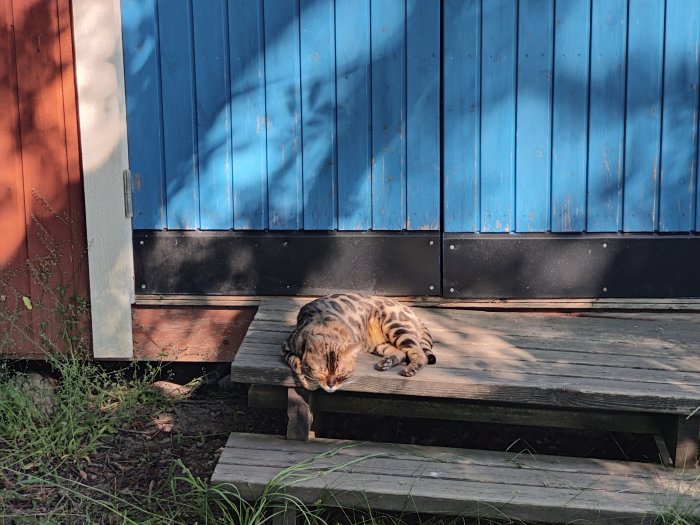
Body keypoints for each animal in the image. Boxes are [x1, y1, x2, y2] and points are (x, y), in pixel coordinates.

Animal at [282, 292, 434, 390]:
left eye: (341, 373)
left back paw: (410, 369)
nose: (330, 385)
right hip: (378, 344)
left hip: (395, 326)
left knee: (421, 354)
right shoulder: (286, 347)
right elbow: (296, 362)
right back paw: (386, 362)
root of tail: (413, 312)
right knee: (401, 353)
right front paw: (308, 379)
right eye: (322, 372)